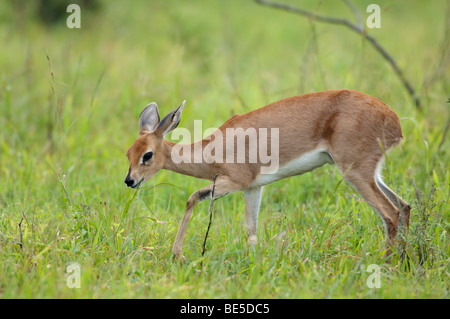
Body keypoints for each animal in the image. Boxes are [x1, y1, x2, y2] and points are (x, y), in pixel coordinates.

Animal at [125, 90, 410, 260]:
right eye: (128, 152)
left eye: (147, 155)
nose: (130, 181)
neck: (212, 149)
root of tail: (393, 120)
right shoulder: (253, 188)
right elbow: (251, 229)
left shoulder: (233, 182)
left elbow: (192, 198)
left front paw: (178, 254)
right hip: (371, 174)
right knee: (404, 206)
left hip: (355, 172)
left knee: (390, 213)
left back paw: (386, 262)